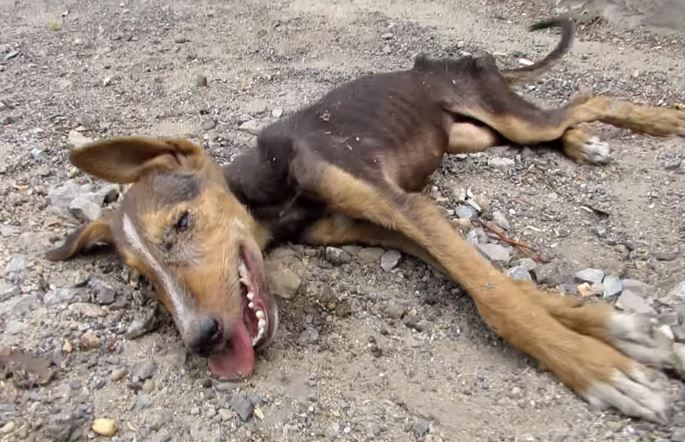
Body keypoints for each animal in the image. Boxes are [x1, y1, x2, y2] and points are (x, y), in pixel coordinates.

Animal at [48, 17, 684, 424]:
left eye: (180, 224)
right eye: (145, 282)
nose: (202, 341)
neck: (271, 190)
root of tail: (440, 61)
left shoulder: (404, 205)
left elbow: (496, 296)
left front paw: (605, 372)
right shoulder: (386, 223)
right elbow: (503, 285)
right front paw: (623, 331)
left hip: (503, 115)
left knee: (587, 97)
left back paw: (660, 121)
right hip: (476, 136)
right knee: (566, 118)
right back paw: (583, 144)